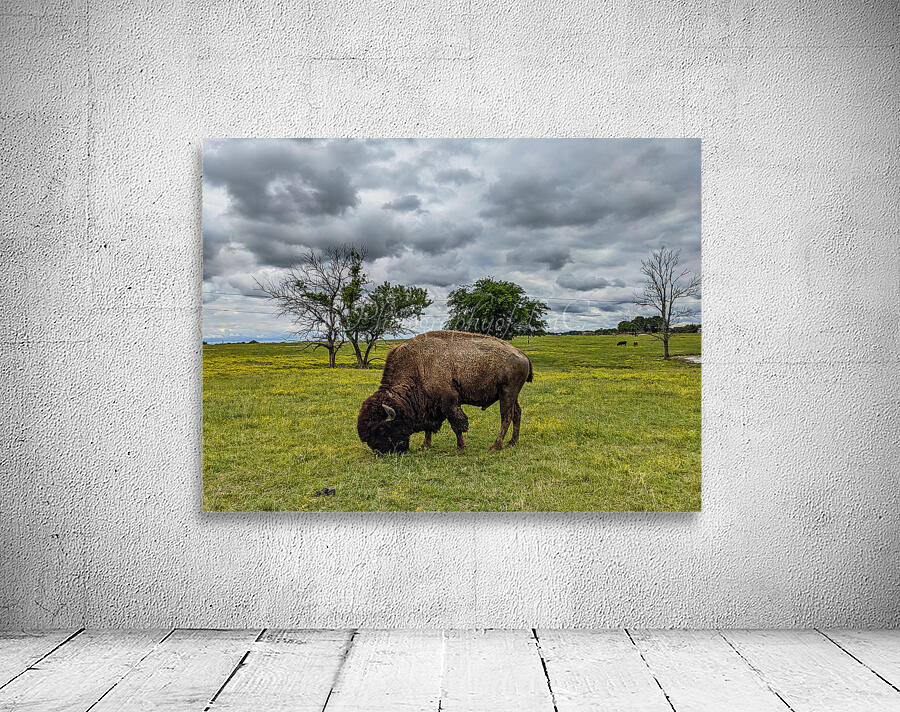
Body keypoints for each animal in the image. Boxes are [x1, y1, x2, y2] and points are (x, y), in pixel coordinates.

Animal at [357, 330, 533, 454]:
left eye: (380, 429)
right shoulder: (429, 405)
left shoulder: (449, 403)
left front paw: (460, 448)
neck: (418, 366)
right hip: (512, 395)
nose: (381, 451)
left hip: (507, 393)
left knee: (506, 417)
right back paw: (512, 442)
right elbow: (429, 428)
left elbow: (457, 425)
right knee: (517, 413)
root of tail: (522, 354)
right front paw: (425, 445)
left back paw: (495, 446)